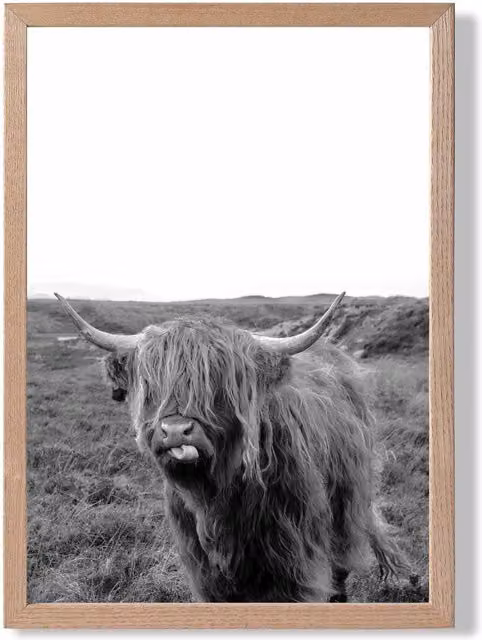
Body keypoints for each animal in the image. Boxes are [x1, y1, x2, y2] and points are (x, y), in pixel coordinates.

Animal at [55, 292, 407, 603]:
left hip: (347, 504)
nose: (176, 431)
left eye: (219, 385)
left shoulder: (294, 564)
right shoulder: (205, 572)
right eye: (151, 386)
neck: (216, 500)